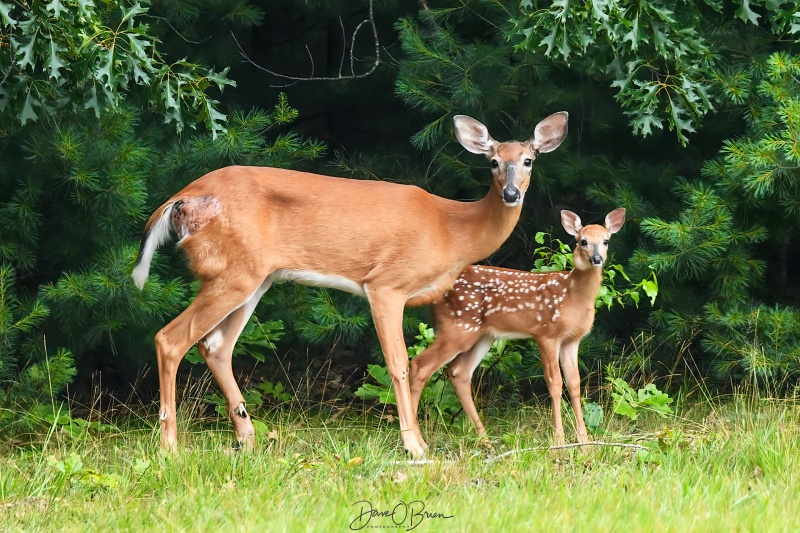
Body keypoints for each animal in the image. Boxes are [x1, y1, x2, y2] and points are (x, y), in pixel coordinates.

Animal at [133, 110, 568, 456]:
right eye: (492, 162)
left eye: (528, 160)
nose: (510, 193)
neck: (452, 229)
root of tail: (180, 199)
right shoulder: (386, 284)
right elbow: (398, 364)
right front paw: (414, 445)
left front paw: (416, 441)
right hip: (233, 272)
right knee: (170, 339)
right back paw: (171, 446)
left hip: (256, 278)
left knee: (216, 346)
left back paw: (247, 437)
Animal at [412, 208, 624, 444]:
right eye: (582, 241)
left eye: (605, 241)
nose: (597, 258)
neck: (573, 296)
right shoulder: (546, 334)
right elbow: (555, 383)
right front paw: (559, 439)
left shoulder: (572, 340)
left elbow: (575, 384)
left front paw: (584, 442)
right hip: (456, 327)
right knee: (419, 366)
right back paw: (416, 441)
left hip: (482, 335)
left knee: (459, 373)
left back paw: (485, 440)